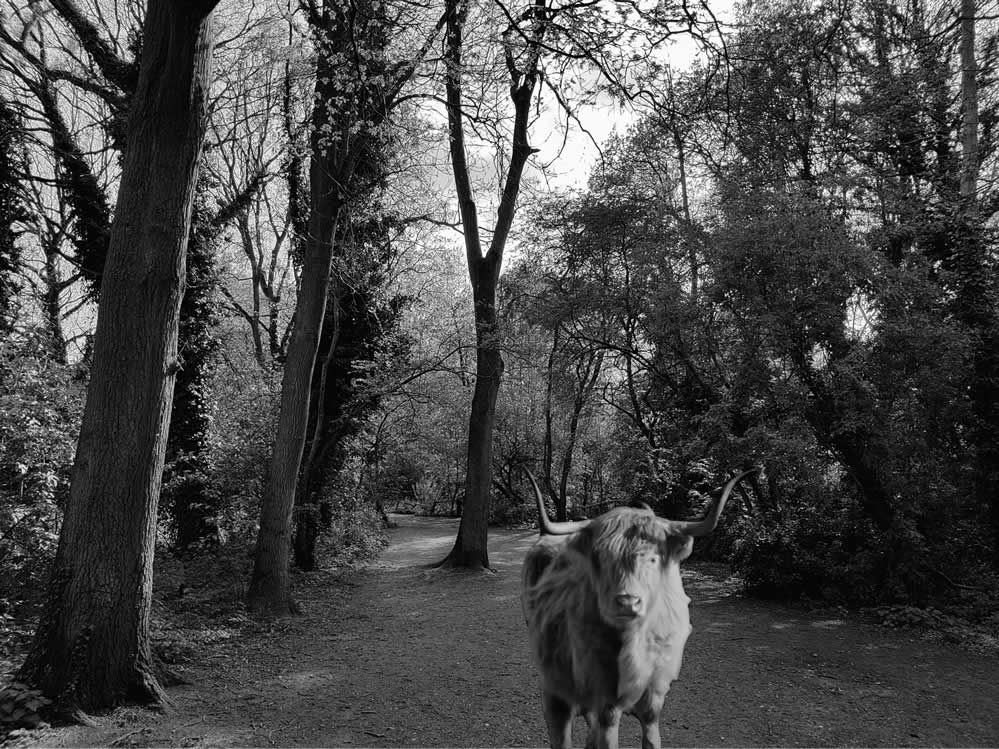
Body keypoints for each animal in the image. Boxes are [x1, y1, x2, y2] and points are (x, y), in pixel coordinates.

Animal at [524, 468, 756, 748]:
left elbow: (651, 732)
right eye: (601, 559)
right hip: (554, 684)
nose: (627, 602)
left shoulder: (655, 689)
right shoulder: (604, 694)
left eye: (654, 558)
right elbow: (607, 732)